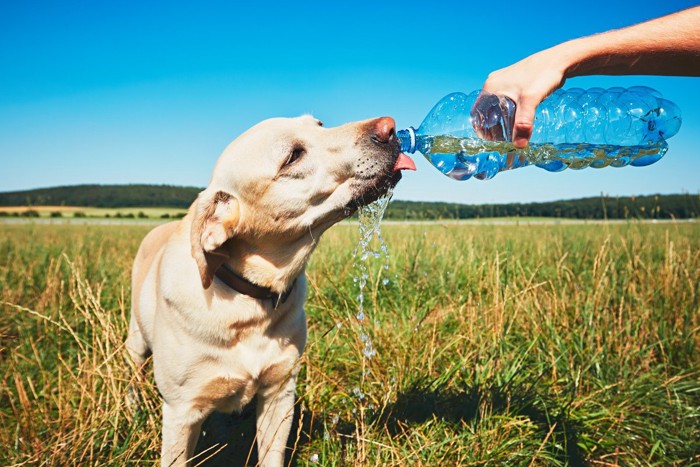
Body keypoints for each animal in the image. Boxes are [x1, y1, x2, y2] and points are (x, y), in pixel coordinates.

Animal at [126, 114, 416, 467]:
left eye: (319, 124)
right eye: (293, 156)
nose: (390, 127)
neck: (249, 302)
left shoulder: (280, 394)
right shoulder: (181, 411)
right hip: (136, 342)